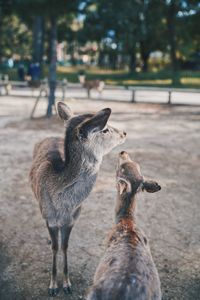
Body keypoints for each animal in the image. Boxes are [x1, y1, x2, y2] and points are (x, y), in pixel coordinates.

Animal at [28, 101, 126, 296]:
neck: (63, 206)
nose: (124, 133)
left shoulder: (73, 218)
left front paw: (66, 284)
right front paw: (53, 286)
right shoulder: (49, 218)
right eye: (105, 129)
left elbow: (65, 246)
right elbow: (55, 247)